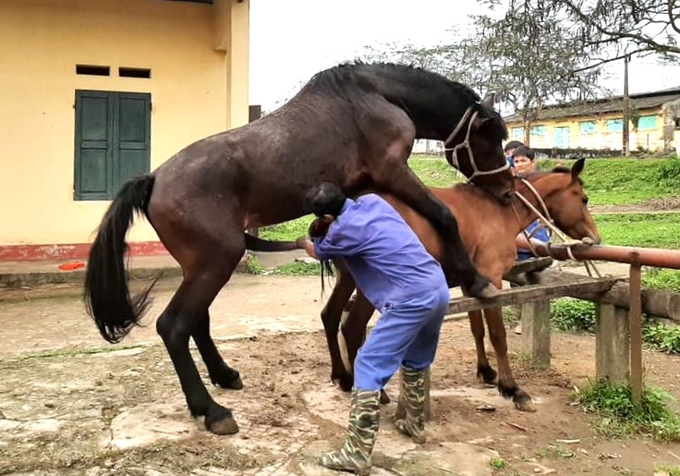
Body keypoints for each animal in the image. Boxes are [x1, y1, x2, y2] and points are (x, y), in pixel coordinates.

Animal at [81, 62, 516, 436]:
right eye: (491, 138)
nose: (508, 190)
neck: (378, 95)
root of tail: (154, 179)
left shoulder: (362, 187)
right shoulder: (393, 171)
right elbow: (443, 215)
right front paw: (473, 277)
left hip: (203, 266)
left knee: (196, 321)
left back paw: (224, 376)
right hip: (216, 261)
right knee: (174, 326)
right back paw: (211, 410)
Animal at [318, 158, 600, 410]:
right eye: (583, 199)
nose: (595, 238)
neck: (501, 209)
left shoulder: (472, 285)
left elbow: (478, 328)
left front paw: (486, 370)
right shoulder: (493, 278)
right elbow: (498, 335)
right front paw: (512, 388)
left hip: (347, 278)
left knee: (330, 316)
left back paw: (343, 377)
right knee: (352, 327)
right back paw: (373, 390)